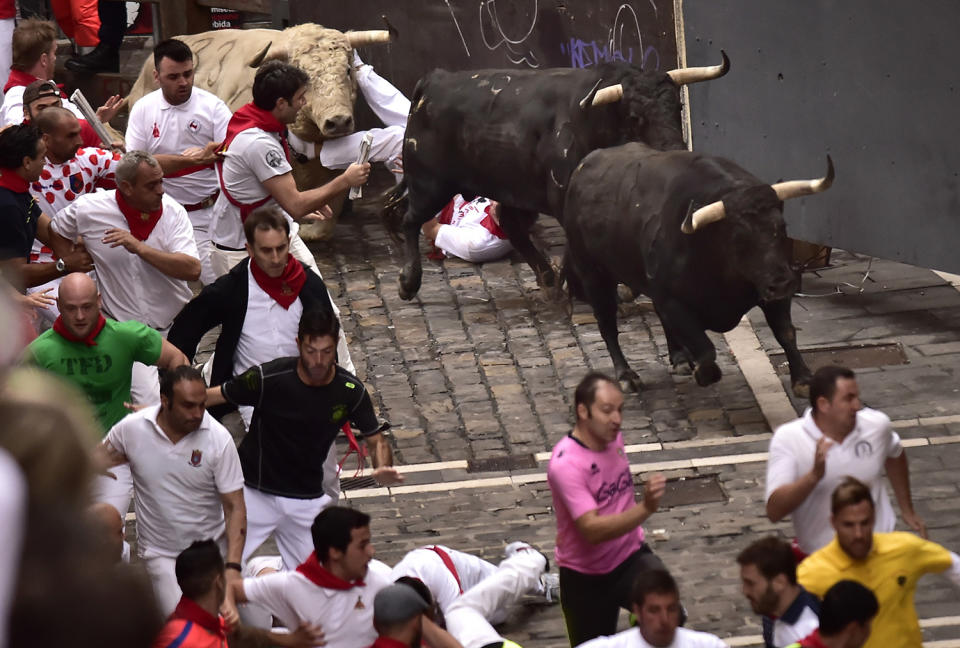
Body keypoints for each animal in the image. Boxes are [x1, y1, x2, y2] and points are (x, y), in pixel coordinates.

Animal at [382, 53, 728, 302]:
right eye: (635, 116)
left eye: (677, 106)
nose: (675, 151)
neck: (593, 120)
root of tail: (433, 80)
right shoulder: (565, 202)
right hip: (430, 184)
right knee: (410, 220)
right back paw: (408, 283)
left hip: (511, 189)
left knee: (510, 224)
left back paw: (549, 281)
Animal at [564, 142, 832, 394]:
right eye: (738, 238)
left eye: (782, 227)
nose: (782, 283)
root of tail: (582, 168)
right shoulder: (673, 300)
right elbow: (705, 349)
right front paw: (703, 373)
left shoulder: (772, 290)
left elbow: (786, 332)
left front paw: (803, 379)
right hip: (593, 276)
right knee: (607, 324)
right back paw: (627, 376)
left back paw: (679, 358)